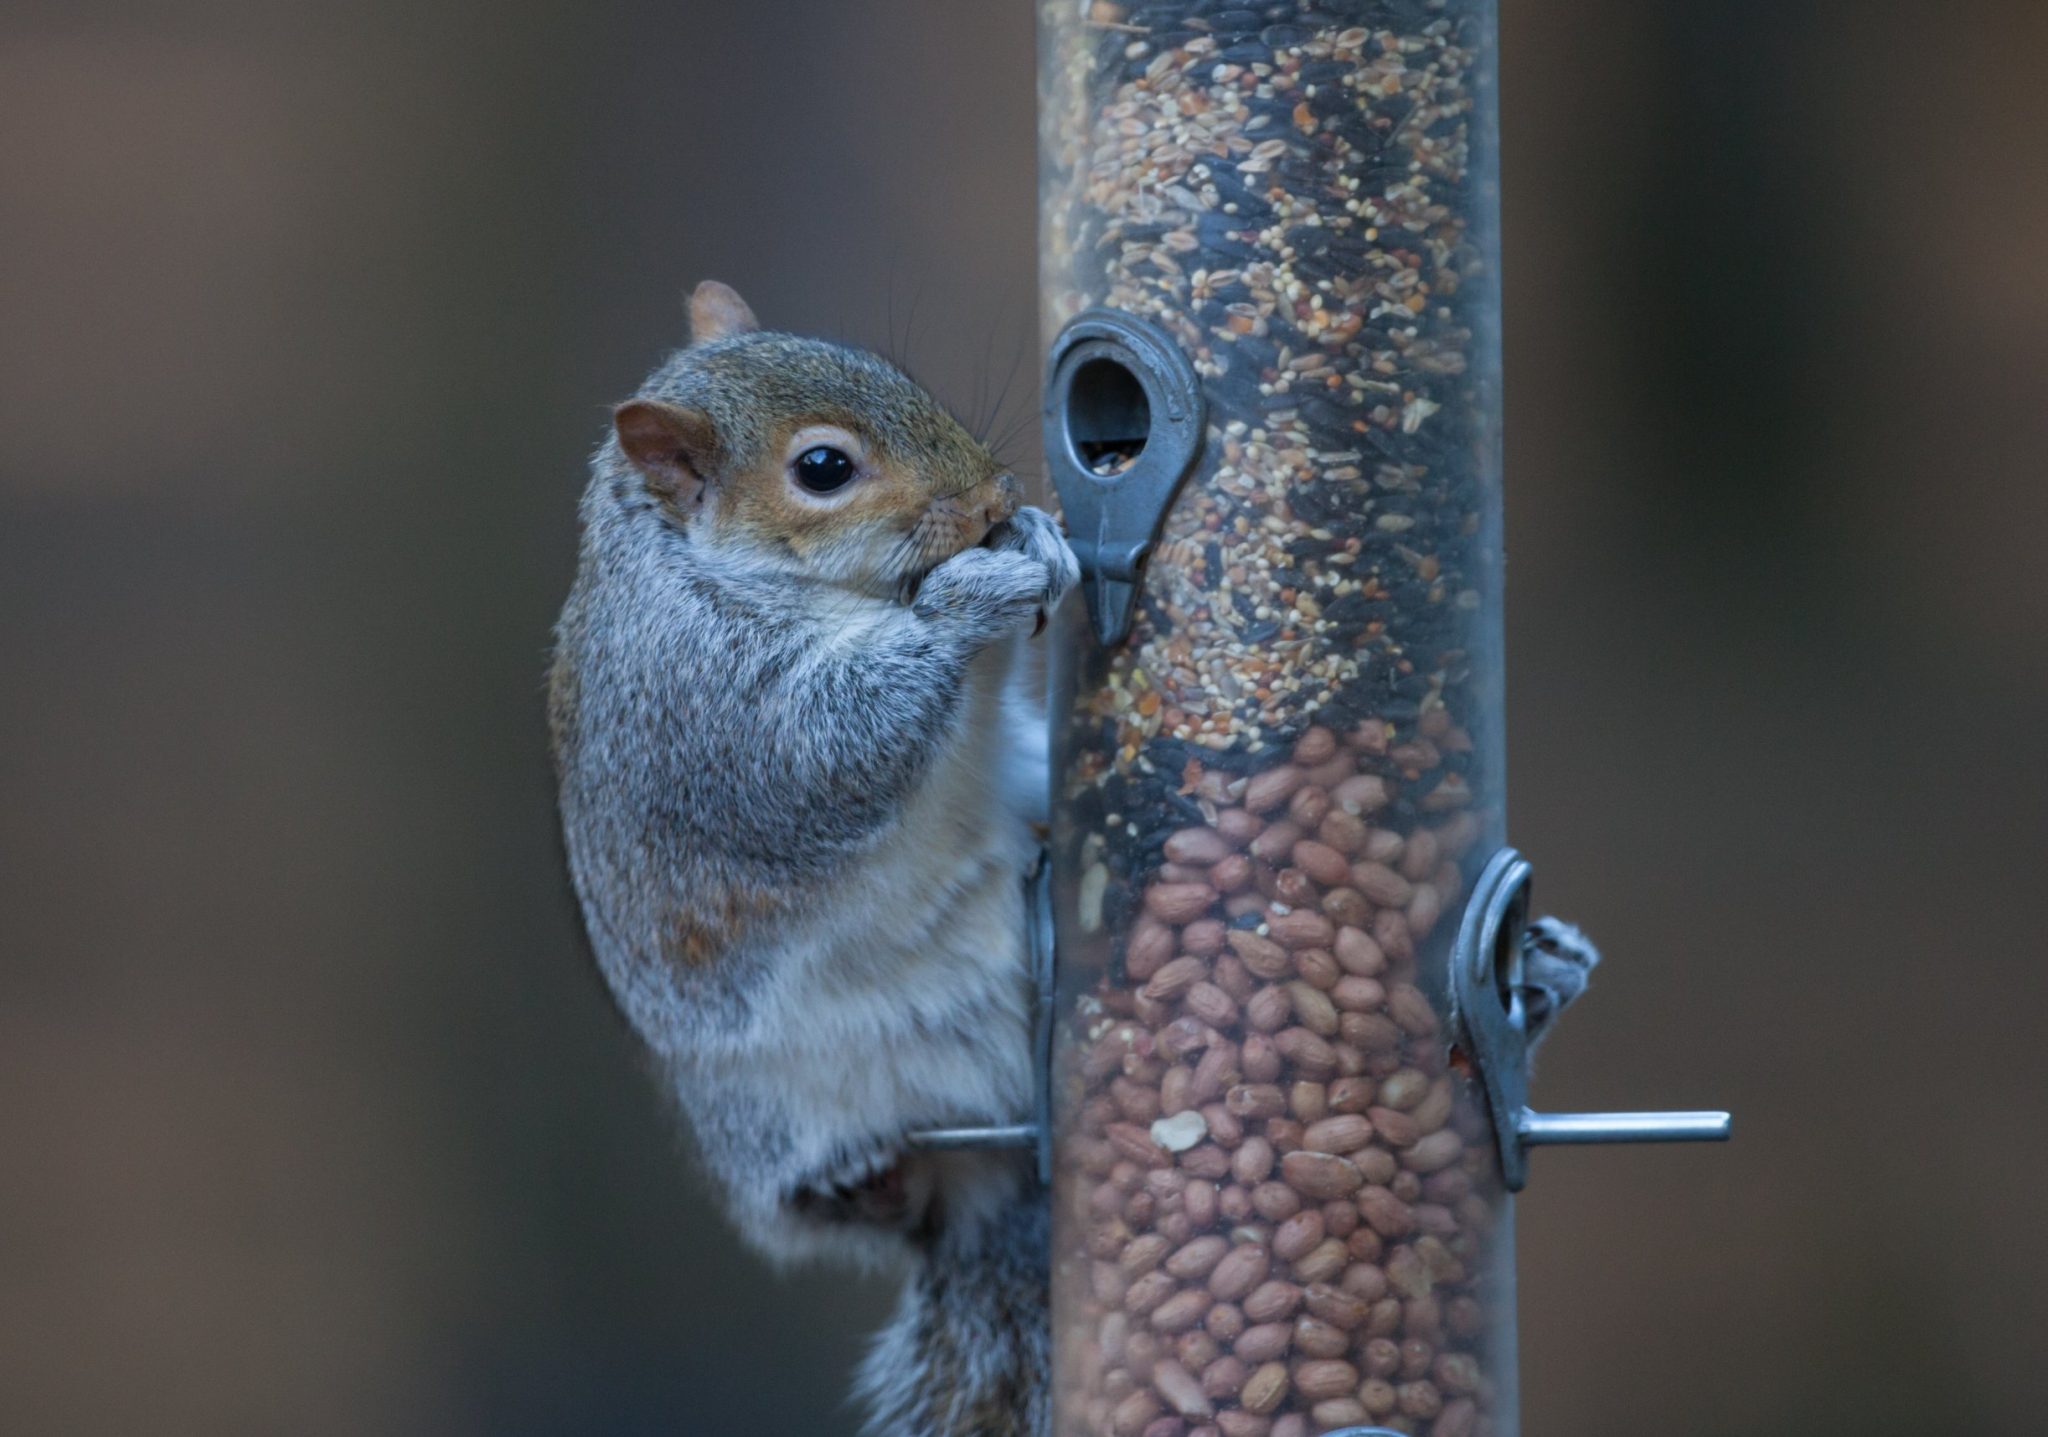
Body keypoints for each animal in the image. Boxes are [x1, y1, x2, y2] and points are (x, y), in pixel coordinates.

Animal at [552, 282, 1605, 1437]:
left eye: (899, 378)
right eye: (822, 468)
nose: (995, 496)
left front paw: (1036, 541)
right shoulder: (710, 709)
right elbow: (834, 751)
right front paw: (967, 596)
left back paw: (1539, 976)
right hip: (772, 1113)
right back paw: (864, 1173)